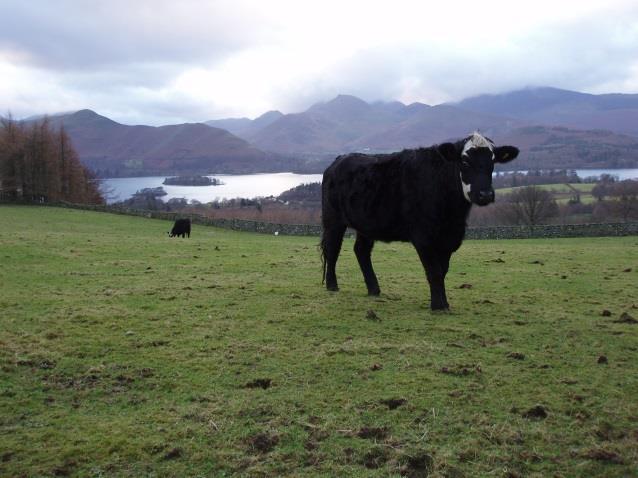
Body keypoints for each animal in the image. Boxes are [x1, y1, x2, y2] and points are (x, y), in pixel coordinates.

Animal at [320, 132, 520, 310]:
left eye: (492, 162)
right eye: (464, 161)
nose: (485, 194)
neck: (452, 214)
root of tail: (339, 160)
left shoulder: (449, 238)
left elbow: (442, 270)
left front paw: (444, 303)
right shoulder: (423, 237)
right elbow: (434, 271)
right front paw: (438, 306)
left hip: (366, 224)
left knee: (361, 251)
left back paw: (374, 289)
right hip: (333, 219)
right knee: (332, 249)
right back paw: (332, 285)